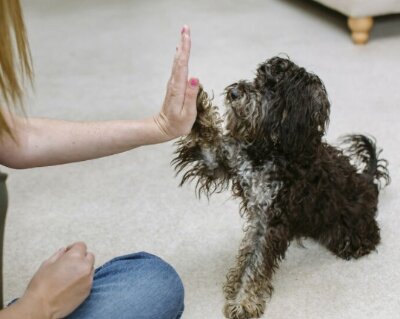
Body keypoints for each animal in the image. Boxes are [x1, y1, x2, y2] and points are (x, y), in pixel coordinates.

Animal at [173, 56, 390, 318]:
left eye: (272, 87)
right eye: (257, 78)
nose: (234, 93)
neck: (270, 150)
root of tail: (366, 182)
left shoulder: (272, 220)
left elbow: (256, 263)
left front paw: (244, 301)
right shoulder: (225, 164)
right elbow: (206, 138)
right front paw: (194, 101)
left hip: (351, 229)